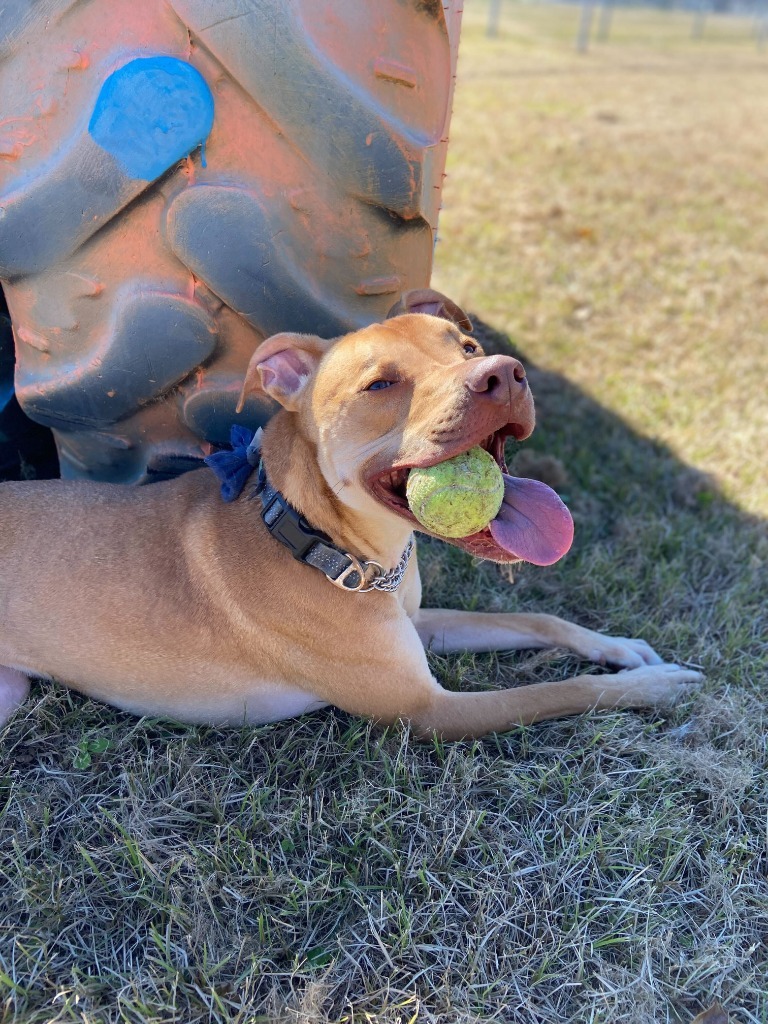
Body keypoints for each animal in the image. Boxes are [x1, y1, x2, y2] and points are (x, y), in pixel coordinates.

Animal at [0, 292, 704, 741]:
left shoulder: (415, 624)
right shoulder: (429, 710)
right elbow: (563, 693)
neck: (327, 545)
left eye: (468, 345)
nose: (505, 373)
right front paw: (656, 687)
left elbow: (534, 618)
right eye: (380, 384)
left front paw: (622, 650)